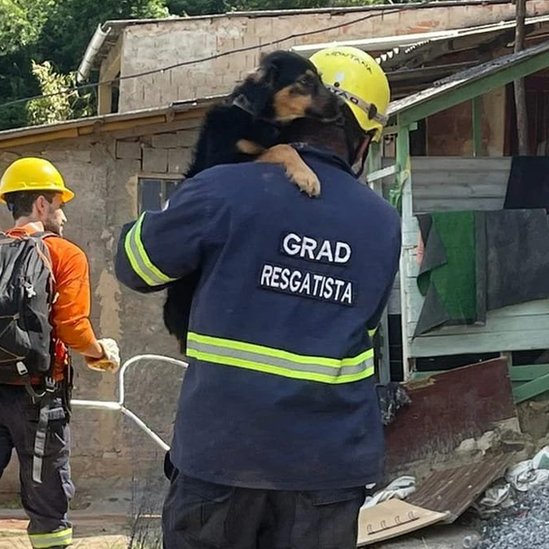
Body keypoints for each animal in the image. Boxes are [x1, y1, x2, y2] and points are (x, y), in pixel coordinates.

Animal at [163, 51, 340, 348]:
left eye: (320, 79)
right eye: (305, 81)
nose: (340, 105)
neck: (257, 117)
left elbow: (283, 145)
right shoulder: (227, 158)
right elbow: (282, 148)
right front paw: (307, 176)